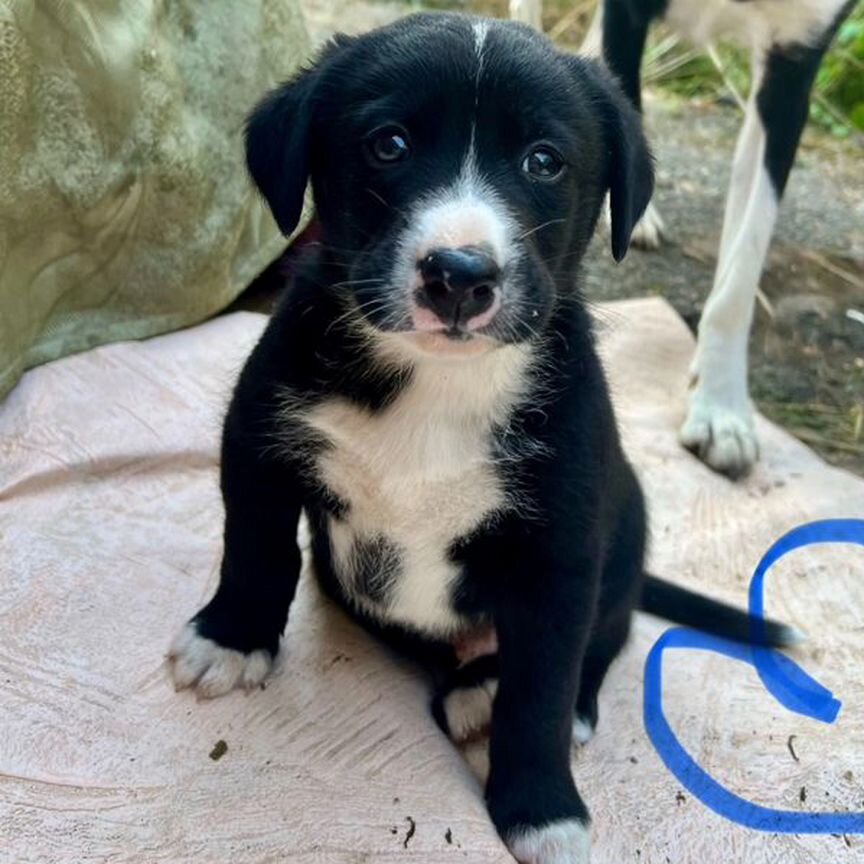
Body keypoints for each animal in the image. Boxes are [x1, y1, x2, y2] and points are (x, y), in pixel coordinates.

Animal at [167, 15, 796, 864]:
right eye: (389, 144)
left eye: (544, 160)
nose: (460, 275)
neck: (439, 381)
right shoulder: (258, 435)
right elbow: (256, 550)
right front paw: (232, 639)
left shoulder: (559, 551)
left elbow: (543, 689)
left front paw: (542, 810)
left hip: (627, 517)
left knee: (607, 636)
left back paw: (506, 696)